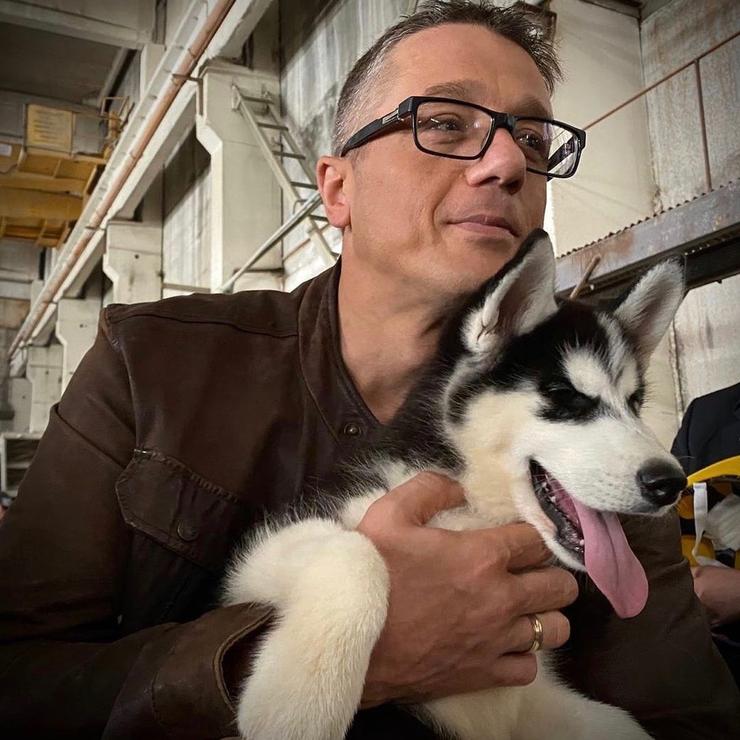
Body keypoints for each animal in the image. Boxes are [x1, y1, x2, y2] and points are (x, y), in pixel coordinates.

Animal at [223, 229, 687, 740]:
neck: (475, 511)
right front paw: (298, 702)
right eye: (564, 395)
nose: (671, 483)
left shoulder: (538, 703)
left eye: (634, 402)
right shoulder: (255, 564)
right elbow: (354, 550)